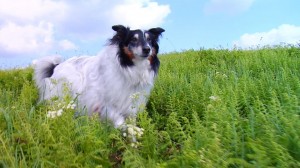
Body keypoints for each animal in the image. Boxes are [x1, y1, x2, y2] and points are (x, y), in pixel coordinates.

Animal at [34, 25, 165, 127]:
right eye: (133, 39)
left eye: (149, 40)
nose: (147, 49)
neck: (128, 68)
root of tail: (55, 66)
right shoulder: (104, 103)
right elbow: (119, 120)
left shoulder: (131, 103)